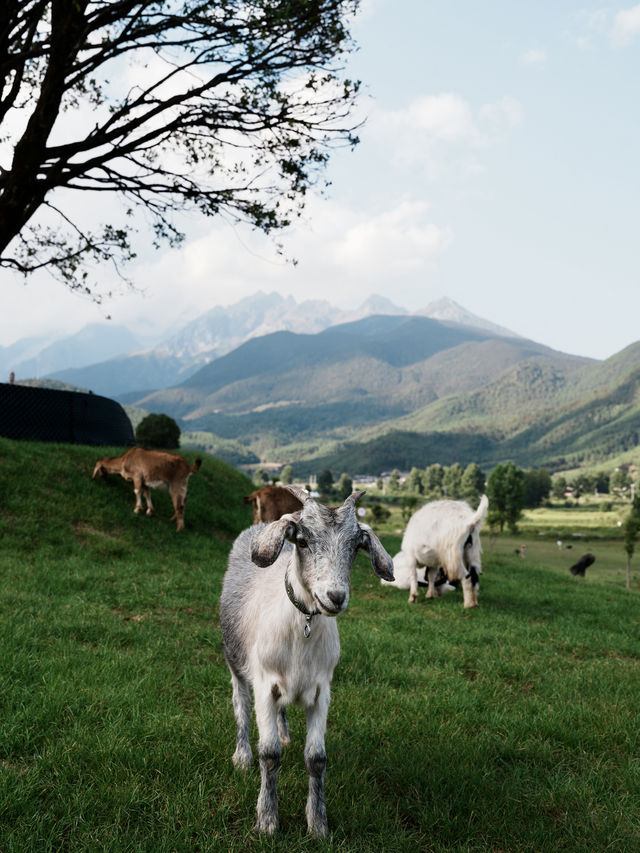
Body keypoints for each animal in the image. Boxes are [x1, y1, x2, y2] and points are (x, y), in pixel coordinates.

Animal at [219, 482, 396, 836]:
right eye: (302, 540)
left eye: (356, 546)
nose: (335, 597)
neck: (303, 625)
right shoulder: (264, 684)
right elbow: (269, 753)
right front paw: (267, 820)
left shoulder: (322, 690)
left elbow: (316, 758)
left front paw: (318, 824)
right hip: (236, 663)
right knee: (240, 706)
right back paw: (242, 756)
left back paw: (285, 733)